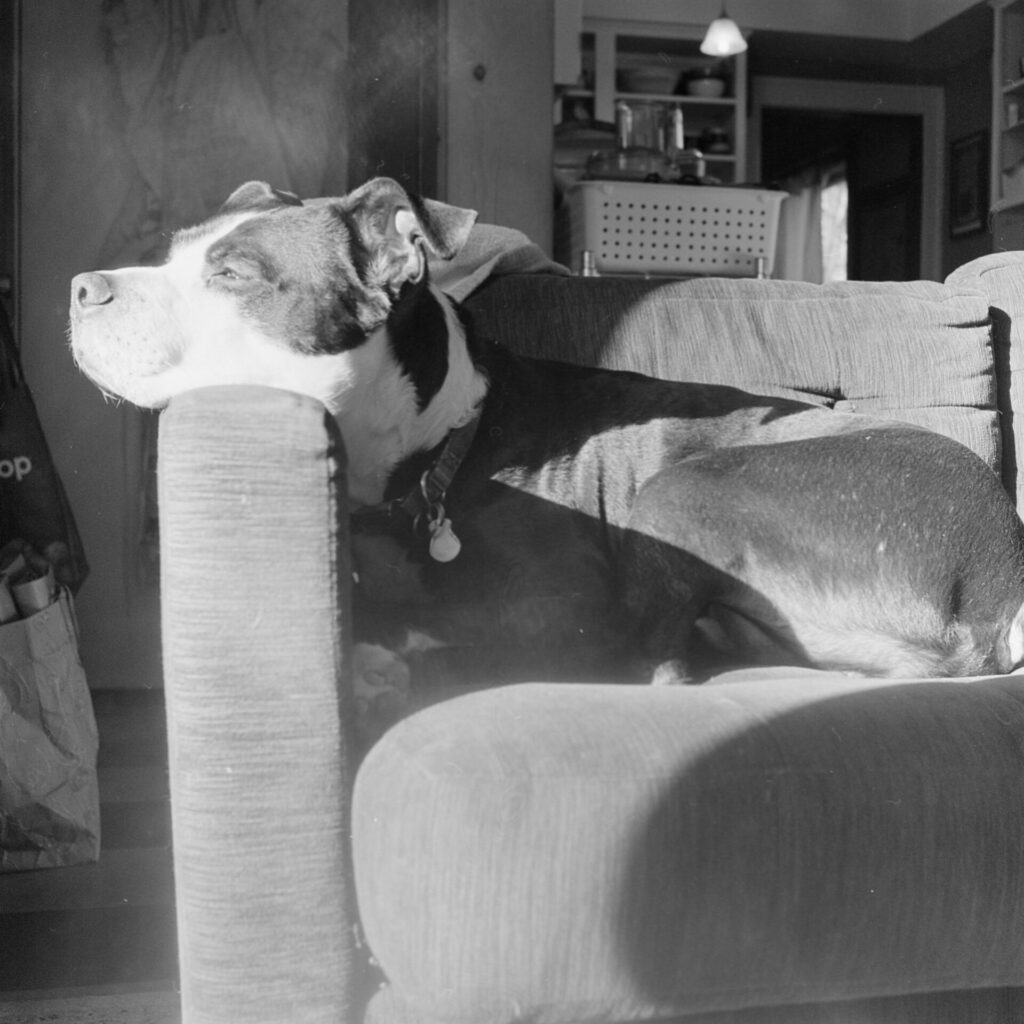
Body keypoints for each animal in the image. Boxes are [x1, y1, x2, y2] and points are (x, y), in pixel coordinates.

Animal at [70, 176, 1024, 720]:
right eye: (169, 255)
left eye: (232, 276)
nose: (82, 286)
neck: (437, 448)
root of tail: (995, 585)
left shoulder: (571, 608)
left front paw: (391, 656)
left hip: (681, 491)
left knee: (655, 663)